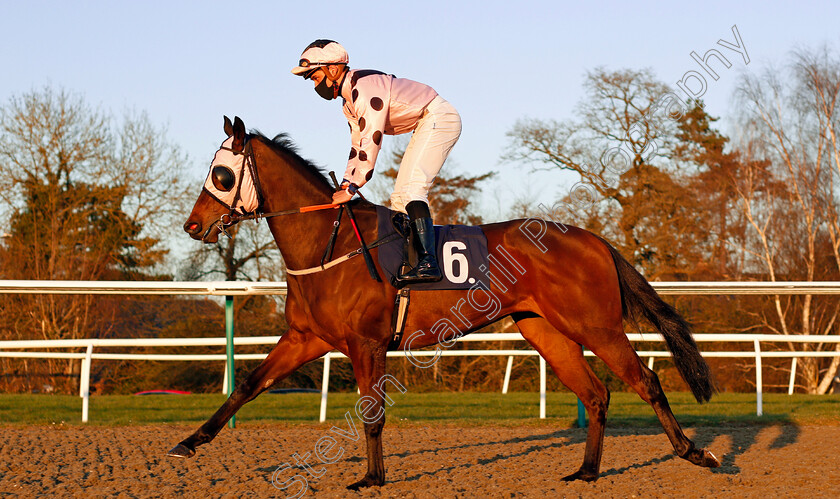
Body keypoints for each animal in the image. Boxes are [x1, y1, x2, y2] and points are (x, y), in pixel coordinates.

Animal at [172, 116, 720, 488]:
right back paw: (586, 472)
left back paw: (695, 453)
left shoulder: (366, 343)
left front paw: (372, 478)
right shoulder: (306, 337)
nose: (192, 225)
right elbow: (247, 386)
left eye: (221, 173)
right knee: (596, 393)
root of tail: (595, 239)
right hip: (545, 330)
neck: (328, 244)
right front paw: (187, 443)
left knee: (645, 381)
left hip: (596, 326)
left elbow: (372, 412)